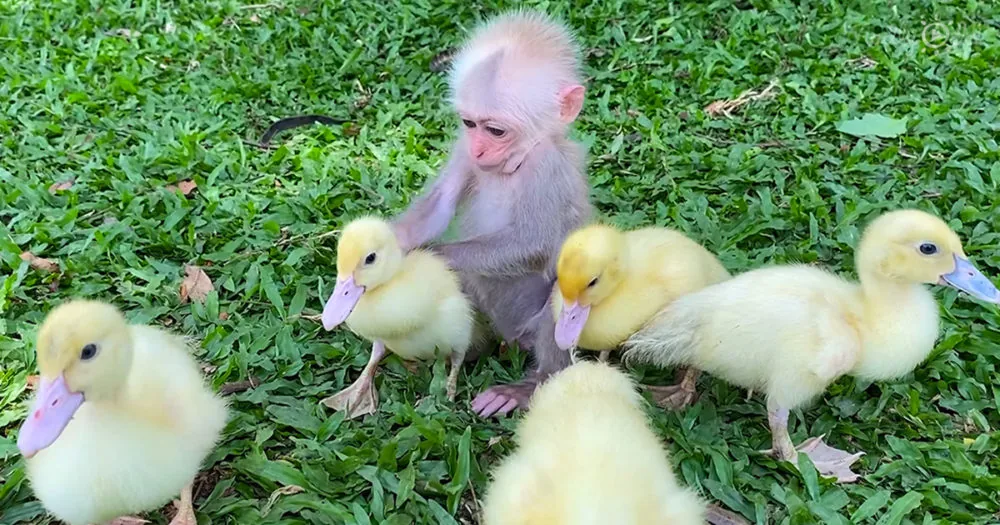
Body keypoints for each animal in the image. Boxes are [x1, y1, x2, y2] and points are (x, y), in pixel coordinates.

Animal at [391, 10, 593, 418]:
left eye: (496, 131)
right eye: (470, 124)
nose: (480, 150)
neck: (513, 164)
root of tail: (513, 337)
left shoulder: (547, 167)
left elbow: (535, 247)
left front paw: (431, 256)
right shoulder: (462, 148)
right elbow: (440, 206)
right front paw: (394, 245)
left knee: (561, 294)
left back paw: (529, 386)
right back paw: (463, 351)